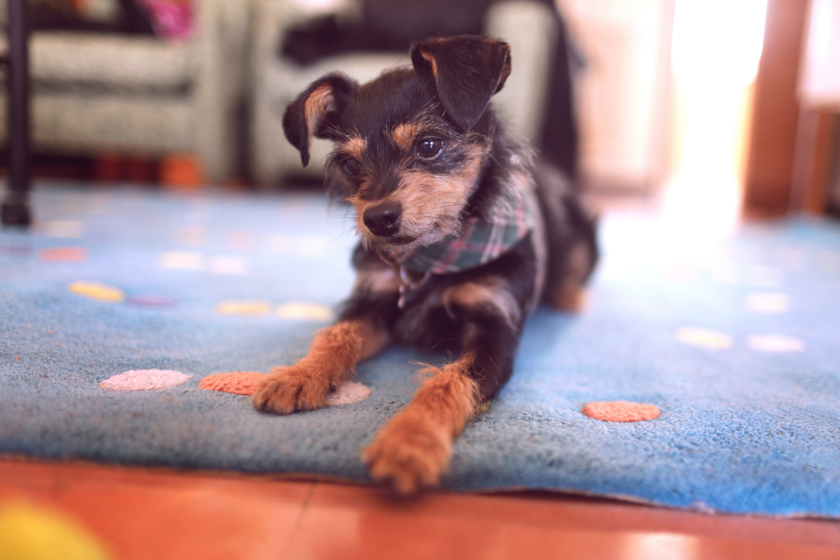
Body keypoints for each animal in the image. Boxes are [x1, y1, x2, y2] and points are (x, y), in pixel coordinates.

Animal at [253, 35, 600, 492]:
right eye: (350, 164)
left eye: (430, 146)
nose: (377, 219)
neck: (434, 258)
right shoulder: (374, 300)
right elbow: (334, 335)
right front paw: (298, 375)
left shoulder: (495, 329)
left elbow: (449, 381)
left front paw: (408, 443)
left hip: (584, 226)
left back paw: (569, 297)